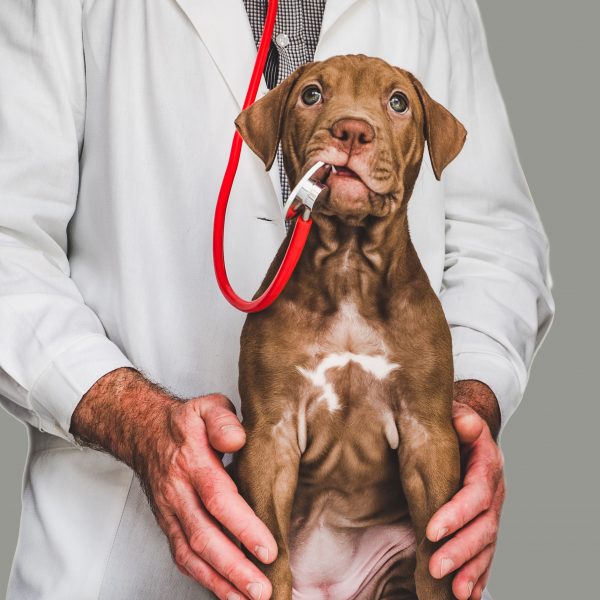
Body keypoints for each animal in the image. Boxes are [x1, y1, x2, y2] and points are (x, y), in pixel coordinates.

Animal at [232, 54, 466, 596]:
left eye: (398, 101)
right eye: (311, 94)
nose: (352, 130)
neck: (348, 264)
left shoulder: (429, 436)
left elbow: (438, 556)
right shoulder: (270, 437)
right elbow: (267, 553)